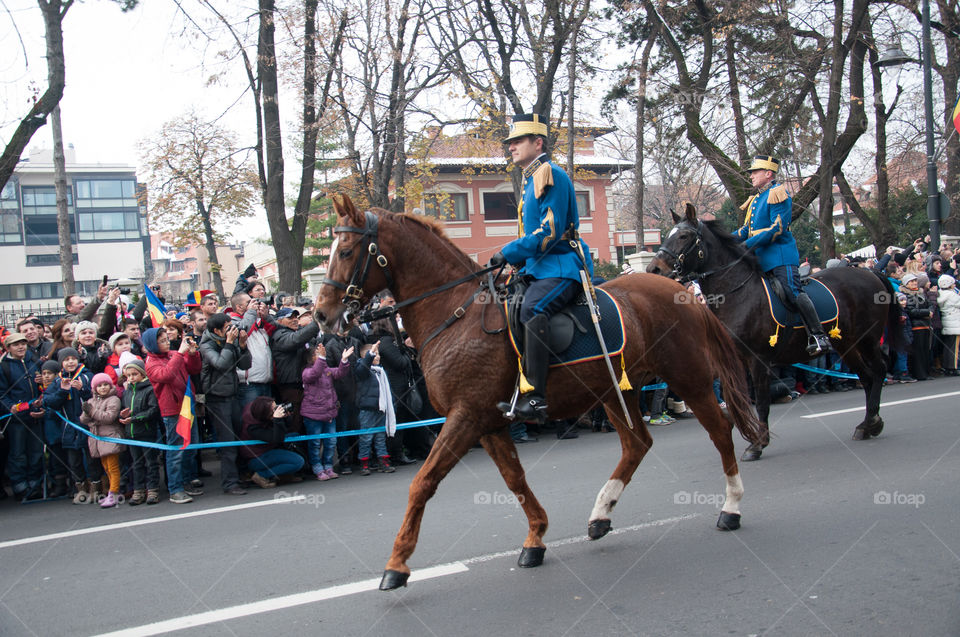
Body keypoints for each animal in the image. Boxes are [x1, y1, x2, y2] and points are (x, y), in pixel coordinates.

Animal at [316, 194, 764, 592]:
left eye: (348, 249)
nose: (322, 315)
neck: (456, 313)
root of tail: (683, 292)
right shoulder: (489, 423)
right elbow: (514, 478)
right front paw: (536, 537)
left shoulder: (466, 417)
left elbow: (423, 482)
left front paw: (397, 563)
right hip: (615, 393)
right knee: (638, 443)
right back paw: (600, 515)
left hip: (690, 379)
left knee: (720, 431)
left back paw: (731, 507)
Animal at [644, 204, 900, 458]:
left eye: (683, 236)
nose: (653, 269)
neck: (737, 293)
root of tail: (871, 273)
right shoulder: (732, 362)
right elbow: (735, 399)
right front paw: (747, 436)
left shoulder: (757, 360)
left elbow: (761, 402)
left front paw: (758, 443)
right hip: (847, 344)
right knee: (866, 376)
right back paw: (867, 424)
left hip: (867, 339)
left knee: (877, 371)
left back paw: (872, 422)